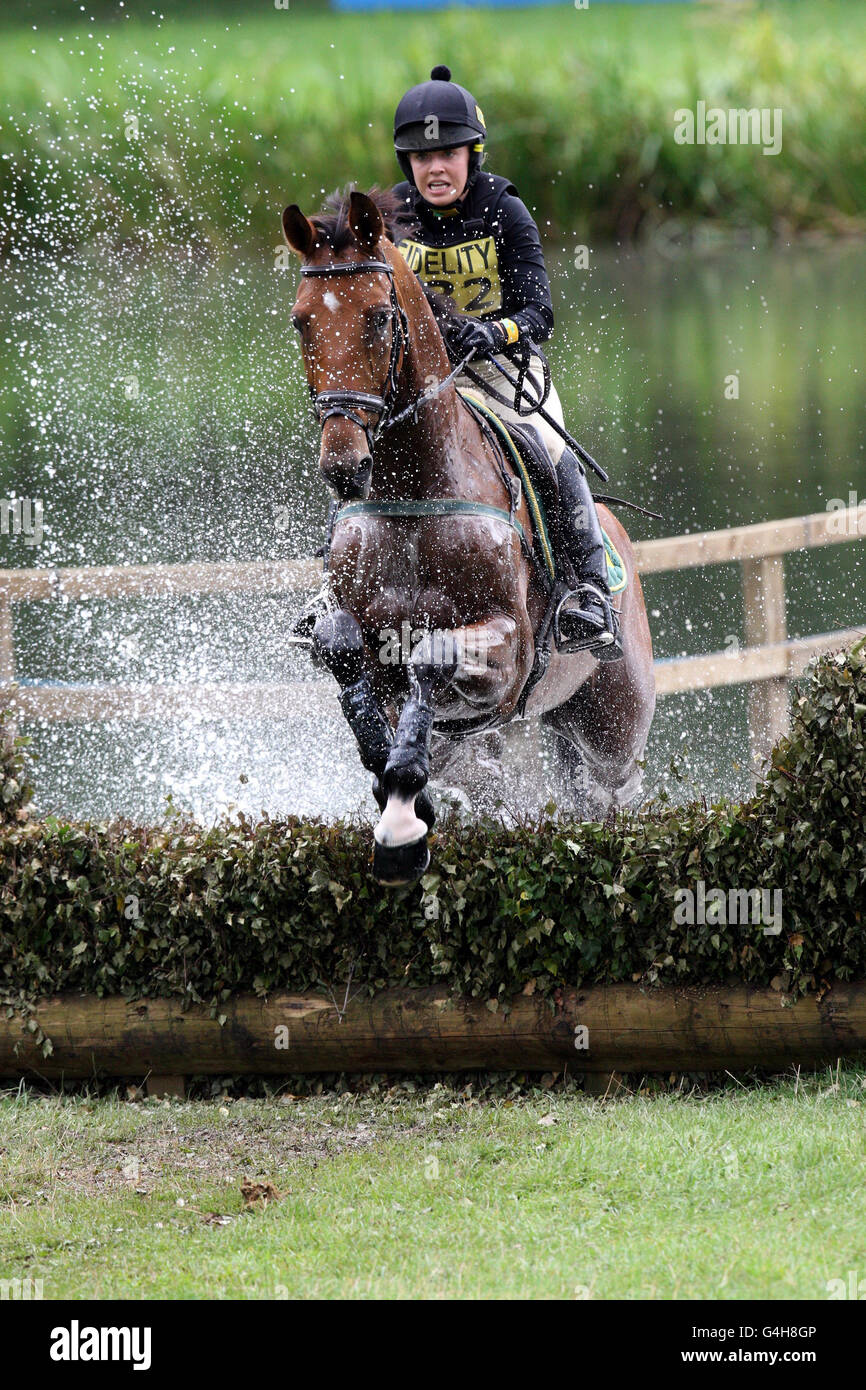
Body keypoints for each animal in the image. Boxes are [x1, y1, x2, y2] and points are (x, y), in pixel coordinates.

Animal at [282, 187, 655, 884]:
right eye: (301, 322)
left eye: (379, 318)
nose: (344, 466)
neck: (413, 499)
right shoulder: (357, 635)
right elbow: (347, 655)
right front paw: (395, 788)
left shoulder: (508, 649)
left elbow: (431, 656)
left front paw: (403, 815)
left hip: (612, 729)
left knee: (610, 789)